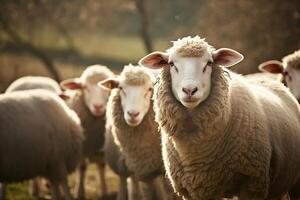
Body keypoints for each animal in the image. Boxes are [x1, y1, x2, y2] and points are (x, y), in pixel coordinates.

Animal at [60, 65, 114, 199]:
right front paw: (79, 193)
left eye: (107, 88)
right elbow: (82, 167)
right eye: (84, 87)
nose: (98, 107)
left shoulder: (101, 148)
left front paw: (104, 192)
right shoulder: (82, 148)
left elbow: (102, 165)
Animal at [139, 36, 300, 200]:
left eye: (209, 63)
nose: (190, 90)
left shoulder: (252, 183)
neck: (195, 154)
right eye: (171, 64)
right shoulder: (195, 190)